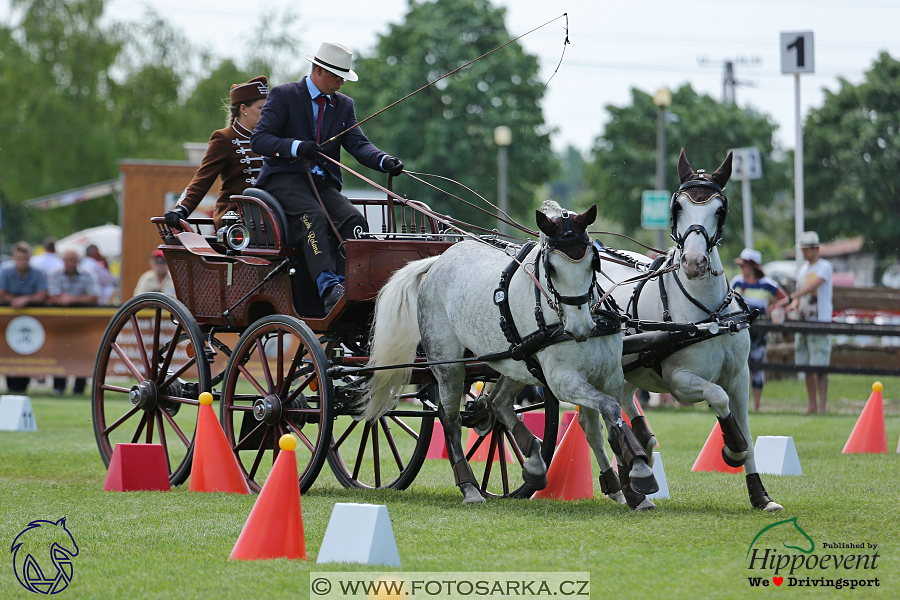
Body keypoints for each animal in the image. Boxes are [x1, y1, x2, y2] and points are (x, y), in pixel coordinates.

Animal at [362, 200, 656, 502]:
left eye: (594, 262)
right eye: (550, 268)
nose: (580, 327)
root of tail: (439, 260)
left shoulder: (611, 377)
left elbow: (611, 419)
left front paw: (633, 484)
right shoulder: (563, 380)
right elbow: (608, 410)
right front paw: (640, 474)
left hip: (516, 361)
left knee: (497, 403)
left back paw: (534, 463)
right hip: (447, 363)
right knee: (450, 417)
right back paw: (470, 486)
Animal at [600, 149, 784, 510]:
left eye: (720, 209)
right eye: (678, 207)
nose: (695, 262)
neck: (708, 316)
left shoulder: (740, 376)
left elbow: (746, 428)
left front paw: (760, 495)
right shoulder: (680, 381)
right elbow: (717, 397)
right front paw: (731, 448)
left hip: (629, 370)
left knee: (623, 403)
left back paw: (641, 450)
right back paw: (629, 484)